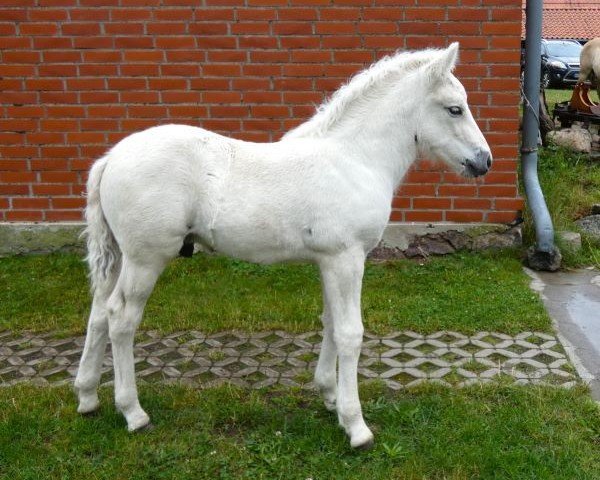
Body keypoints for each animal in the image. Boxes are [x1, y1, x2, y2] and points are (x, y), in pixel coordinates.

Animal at [74, 43, 492, 448]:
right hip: (146, 259)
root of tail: (111, 158)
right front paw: (356, 427)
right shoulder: (347, 259)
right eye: (455, 108)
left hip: (119, 258)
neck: (353, 159)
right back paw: (133, 412)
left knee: (97, 314)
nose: (484, 161)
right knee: (120, 319)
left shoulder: (329, 261)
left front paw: (329, 397)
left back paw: (87, 396)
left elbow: (329, 323)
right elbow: (350, 333)